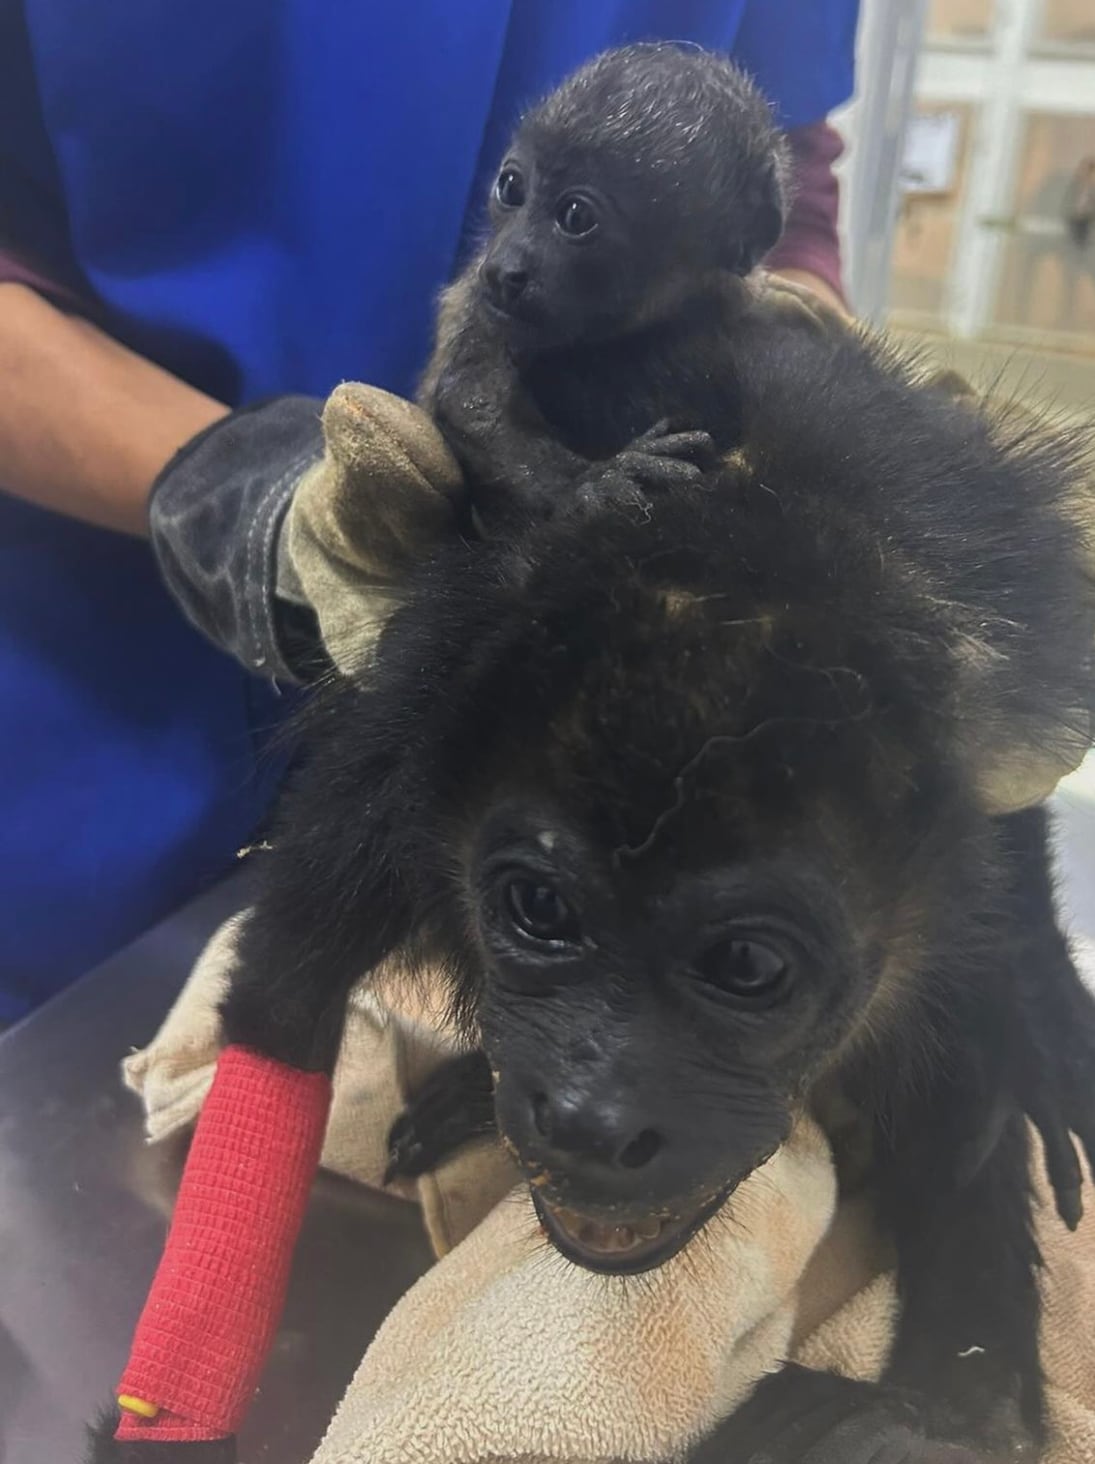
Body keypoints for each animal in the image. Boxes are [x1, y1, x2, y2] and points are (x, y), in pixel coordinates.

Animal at [88, 310, 1095, 1463]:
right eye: (540, 911)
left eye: (747, 965)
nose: (584, 1119)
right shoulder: (387, 769)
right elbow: (276, 1012)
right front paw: (177, 1399)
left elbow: (971, 1075)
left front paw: (943, 1408)